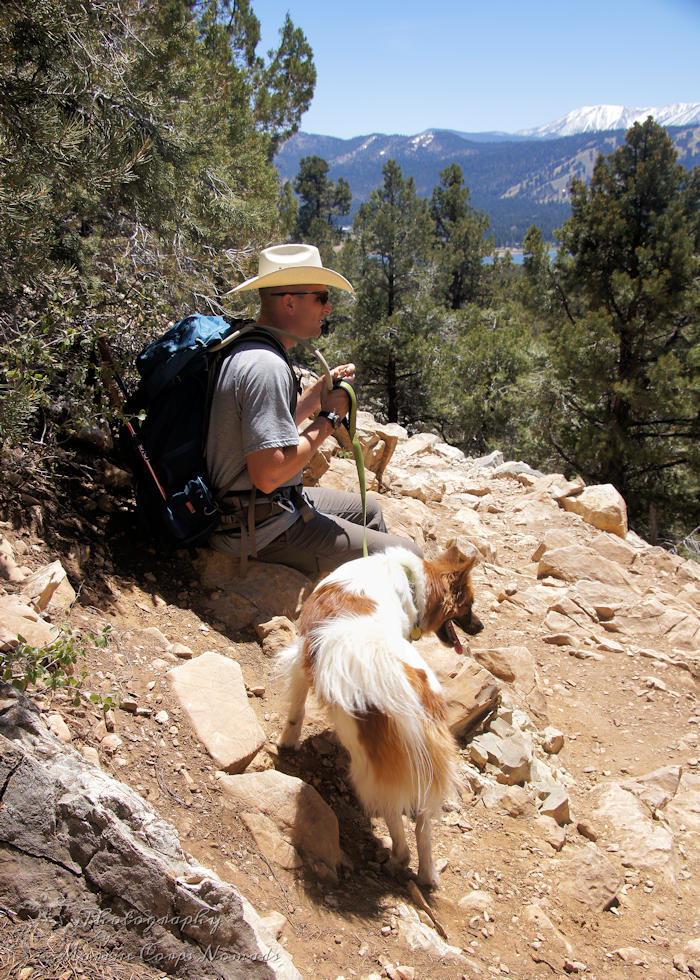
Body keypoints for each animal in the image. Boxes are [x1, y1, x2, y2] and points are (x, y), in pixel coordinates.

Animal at [276, 544, 484, 888]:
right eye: (468, 605)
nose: (480, 627)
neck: (411, 583)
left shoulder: (299, 656)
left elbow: (296, 710)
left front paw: (287, 743)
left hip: (369, 769)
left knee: (394, 816)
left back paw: (398, 858)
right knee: (423, 824)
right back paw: (427, 875)